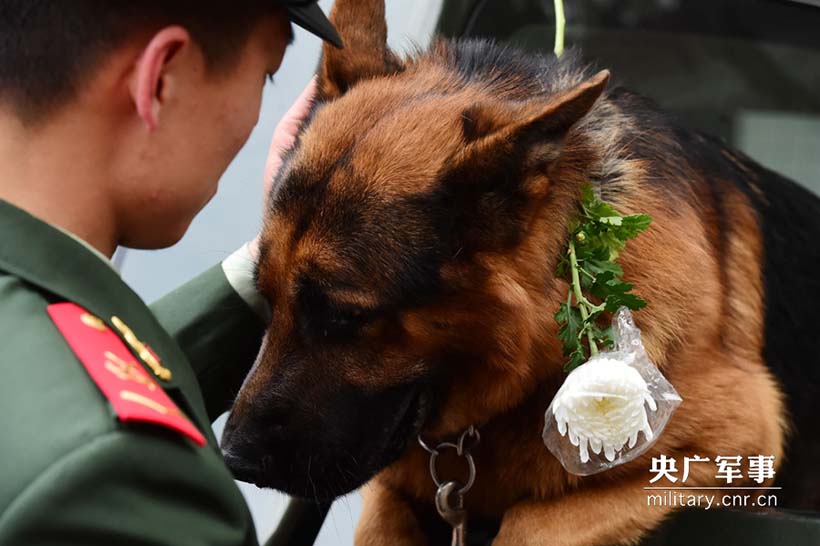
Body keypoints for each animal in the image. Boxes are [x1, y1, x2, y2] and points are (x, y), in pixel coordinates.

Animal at [219, 1, 820, 540]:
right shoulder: (393, 491)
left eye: (345, 317)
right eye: (263, 294)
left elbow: (529, 522)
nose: (232, 460)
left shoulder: (731, 440)